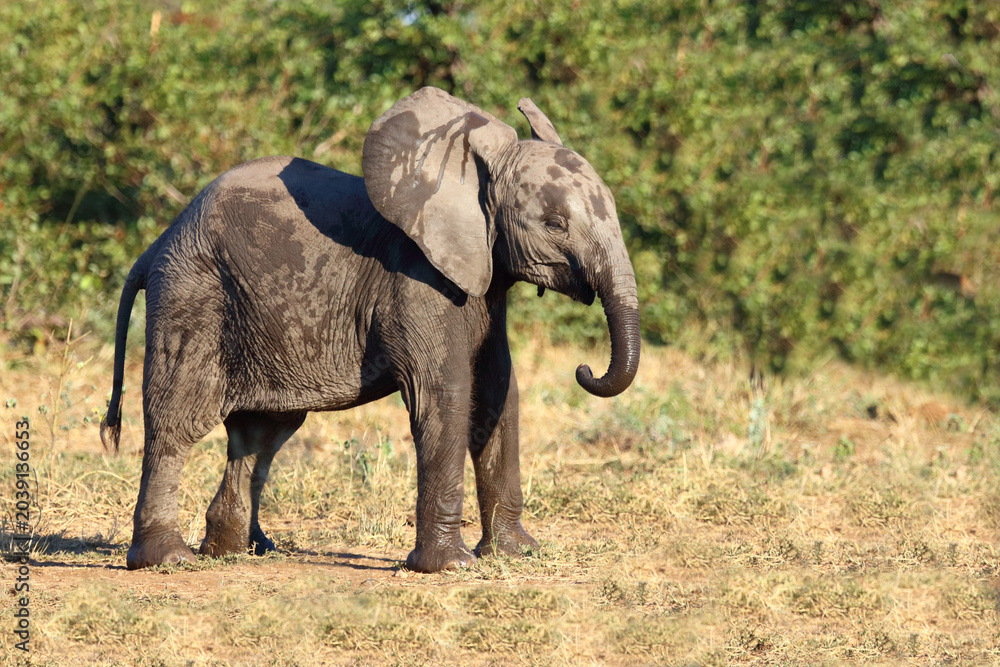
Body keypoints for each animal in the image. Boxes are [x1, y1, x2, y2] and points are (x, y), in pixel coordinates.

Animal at [101, 87, 640, 573]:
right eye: (554, 223)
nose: (585, 368)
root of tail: (157, 244)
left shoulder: (486, 280)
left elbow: (498, 392)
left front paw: (516, 554)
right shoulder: (416, 278)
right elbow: (445, 393)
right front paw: (449, 567)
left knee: (259, 434)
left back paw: (242, 552)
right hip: (193, 295)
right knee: (177, 422)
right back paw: (167, 559)